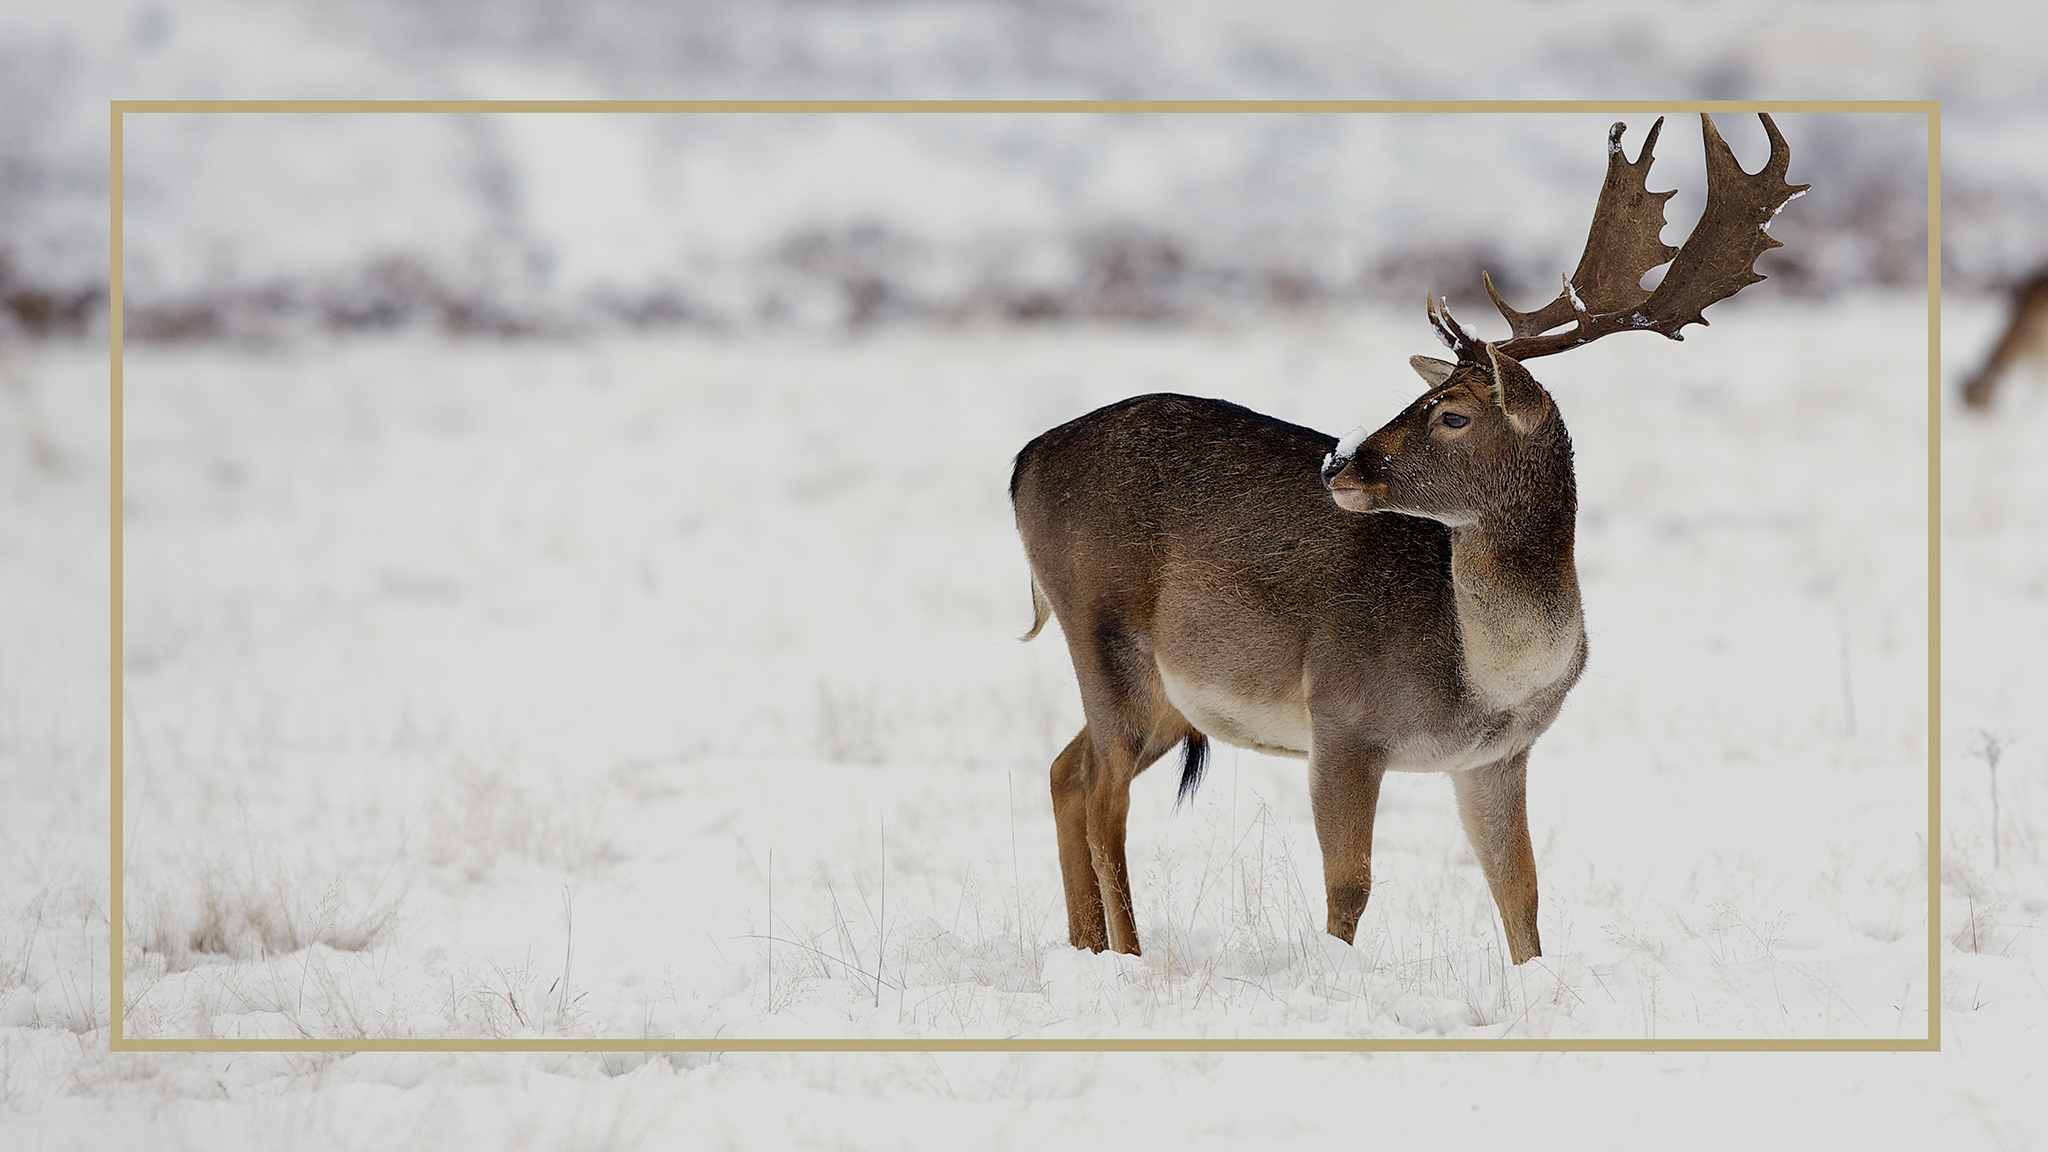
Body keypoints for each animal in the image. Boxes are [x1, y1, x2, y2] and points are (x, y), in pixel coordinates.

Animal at [1011, 114, 1810, 959]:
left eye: (1452, 413)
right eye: (1424, 395)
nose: (1340, 463)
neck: (1486, 676)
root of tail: (1023, 461)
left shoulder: (1497, 759)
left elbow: (1521, 894)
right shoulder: (1341, 718)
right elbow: (1350, 887)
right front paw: (1334, 972)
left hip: (1167, 694)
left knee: (1068, 772)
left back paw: (1086, 948)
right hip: (1105, 628)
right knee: (1104, 792)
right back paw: (1129, 955)